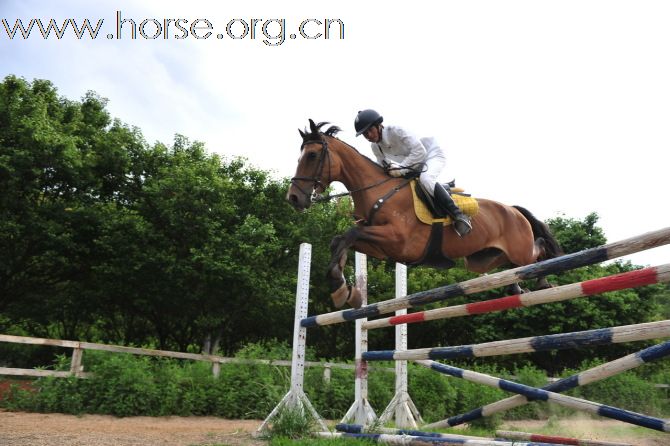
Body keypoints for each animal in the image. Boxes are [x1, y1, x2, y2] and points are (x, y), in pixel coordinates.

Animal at [286, 119, 564, 310]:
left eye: (312, 155)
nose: (294, 198)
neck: (378, 192)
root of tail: (513, 210)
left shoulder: (398, 240)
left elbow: (350, 233)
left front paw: (341, 287)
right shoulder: (383, 248)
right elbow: (340, 240)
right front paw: (344, 289)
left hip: (519, 250)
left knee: (537, 250)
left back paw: (542, 281)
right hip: (482, 259)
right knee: (512, 267)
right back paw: (517, 286)